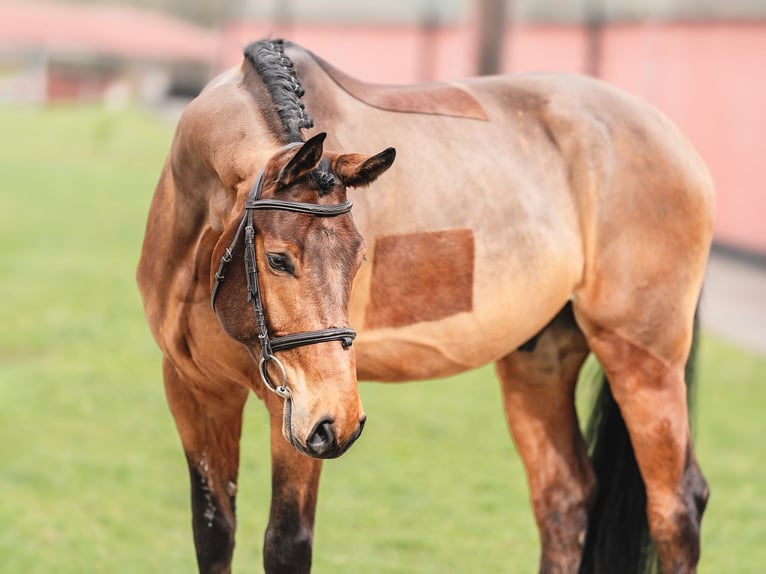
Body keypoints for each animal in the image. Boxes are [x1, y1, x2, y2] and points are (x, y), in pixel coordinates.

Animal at [136, 39, 712, 574]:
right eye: (278, 259)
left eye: (361, 257)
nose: (340, 423)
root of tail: (675, 143)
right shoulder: (193, 389)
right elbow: (214, 532)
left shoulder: (293, 408)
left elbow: (285, 543)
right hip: (537, 363)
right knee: (564, 498)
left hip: (643, 359)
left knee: (675, 507)